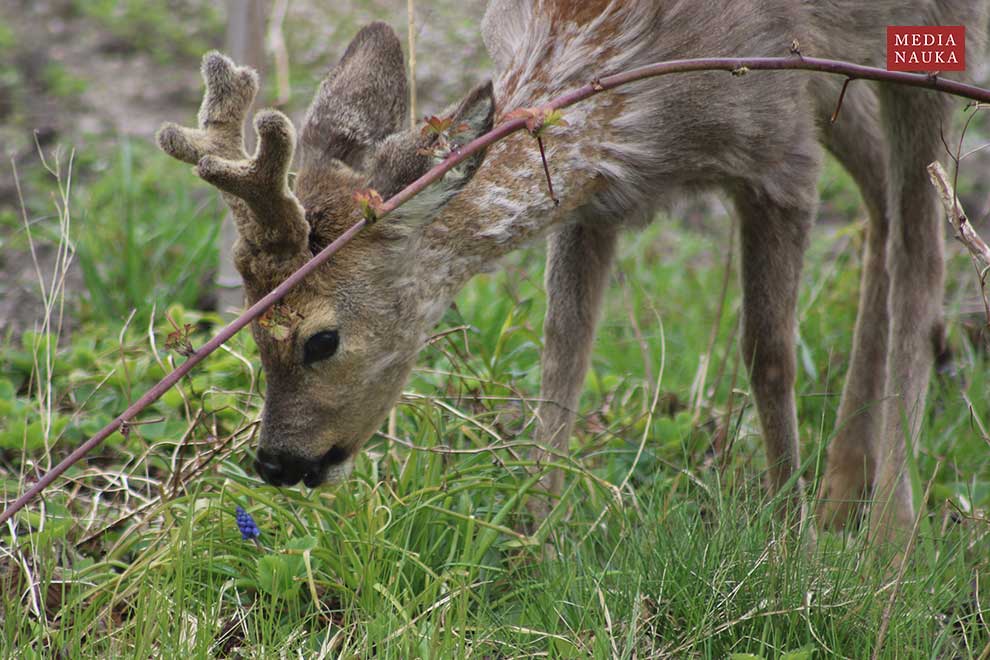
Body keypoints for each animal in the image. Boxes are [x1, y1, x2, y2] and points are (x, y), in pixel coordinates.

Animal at [155, 2, 984, 544]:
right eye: (249, 324)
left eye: (321, 340)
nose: (275, 461)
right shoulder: (598, 195)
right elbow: (564, 356)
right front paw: (536, 541)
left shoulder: (777, 146)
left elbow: (767, 353)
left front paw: (790, 545)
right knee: (885, 201)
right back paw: (847, 489)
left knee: (923, 243)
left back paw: (888, 540)